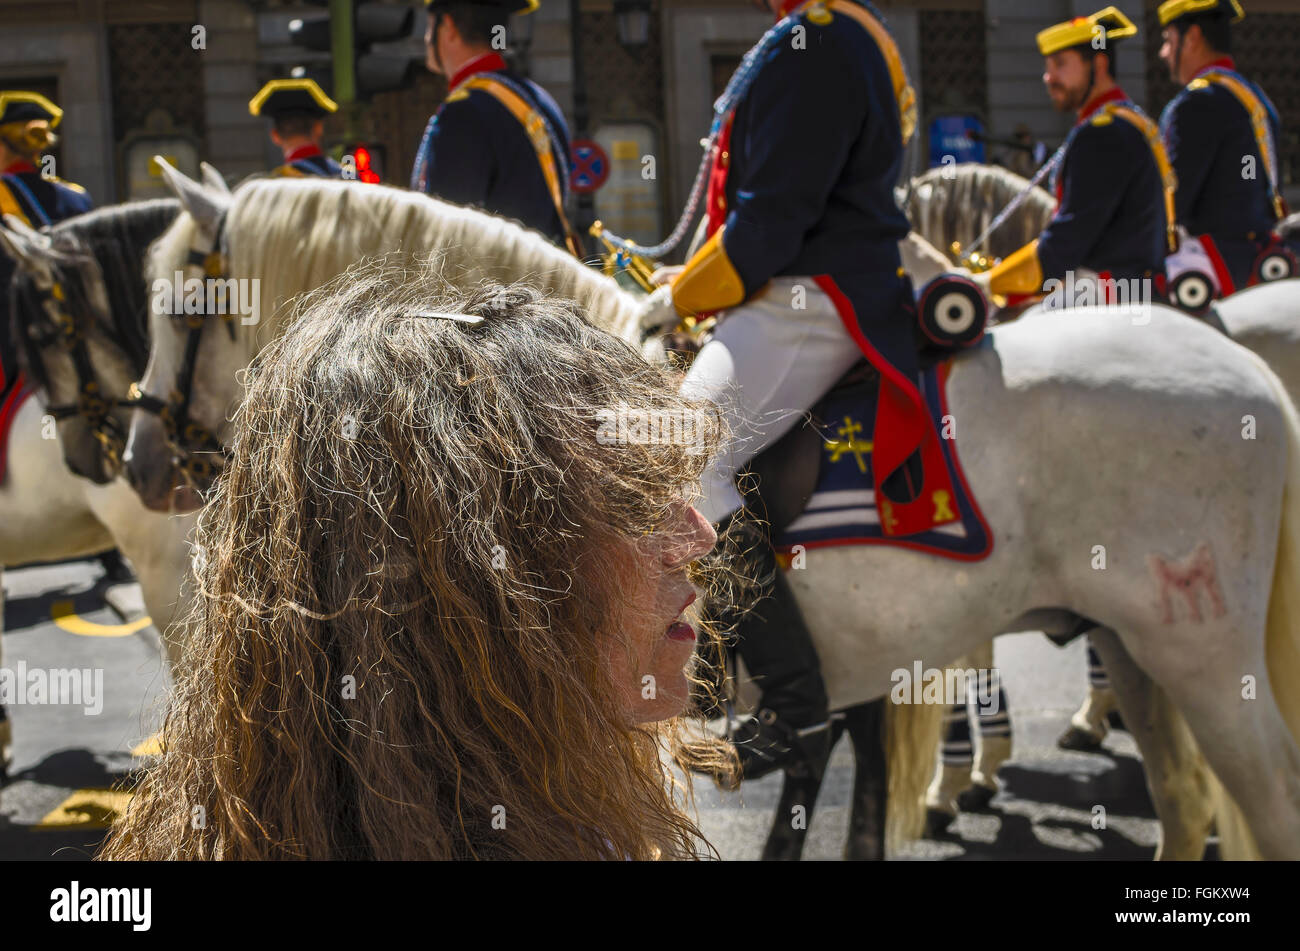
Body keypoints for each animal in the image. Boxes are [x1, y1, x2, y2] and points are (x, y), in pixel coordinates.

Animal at [114, 167, 1300, 857]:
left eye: (182, 307)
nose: (135, 460)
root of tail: (1235, 357)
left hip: (1201, 657)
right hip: (1138, 648)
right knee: (1188, 801)